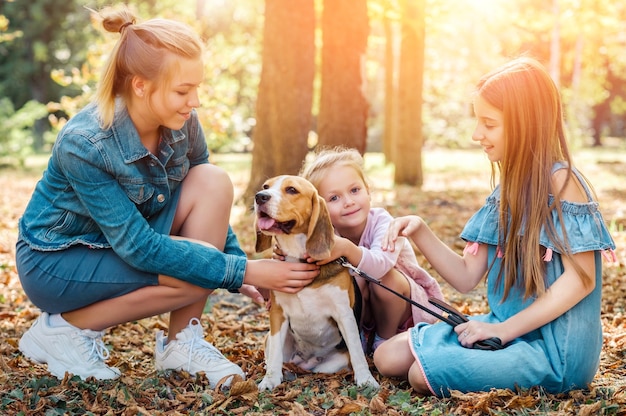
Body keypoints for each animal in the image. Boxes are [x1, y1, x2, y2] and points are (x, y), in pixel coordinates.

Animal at [251, 175, 378, 390]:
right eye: (265, 186)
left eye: (292, 190)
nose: (260, 197)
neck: (297, 257)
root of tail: (306, 360)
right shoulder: (278, 313)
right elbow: (275, 353)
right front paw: (270, 380)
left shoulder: (344, 313)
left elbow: (357, 352)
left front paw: (366, 379)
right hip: (272, 341)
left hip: (333, 362)